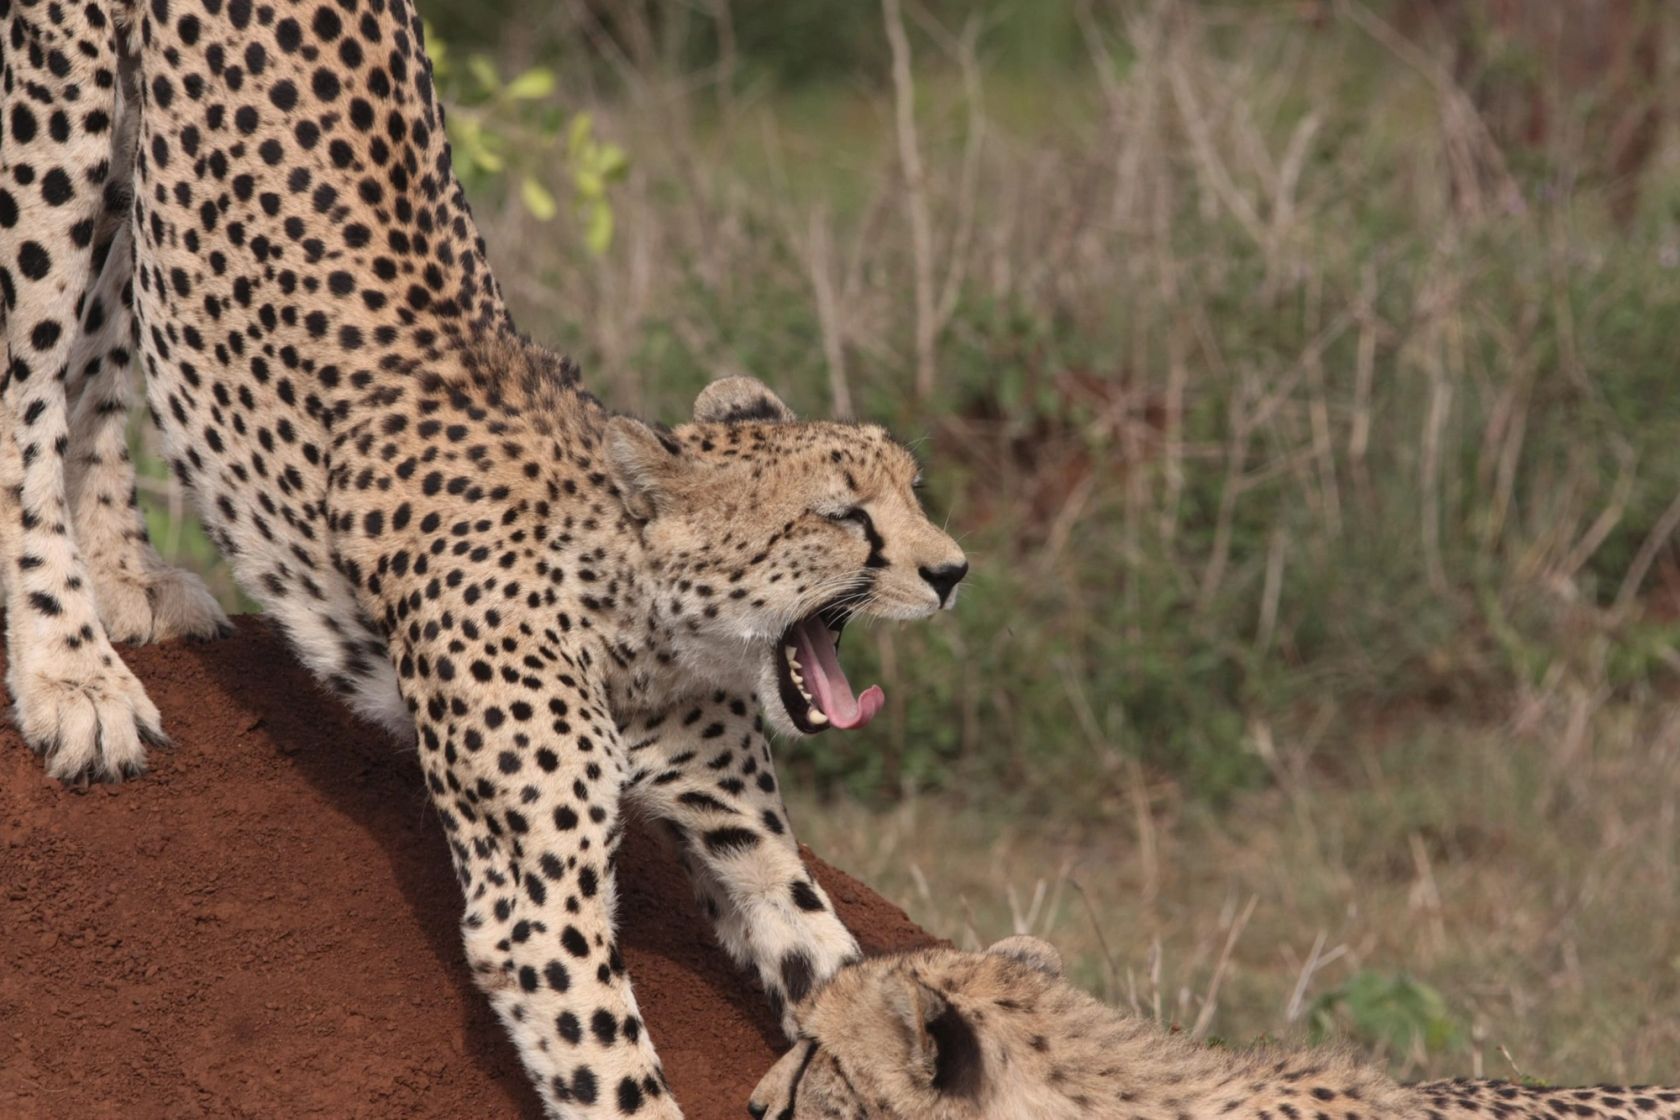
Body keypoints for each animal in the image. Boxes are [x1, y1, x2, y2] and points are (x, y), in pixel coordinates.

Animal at [0, 0, 969, 1116]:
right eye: (844, 515)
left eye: (913, 491)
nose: (954, 572)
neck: (640, 625)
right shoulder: (534, 904)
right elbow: (619, 1076)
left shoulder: (748, 841)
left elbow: (840, 975)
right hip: (56, 129)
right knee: (26, 389)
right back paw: (72, 673)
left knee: (108, 336)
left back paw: (127, 578)